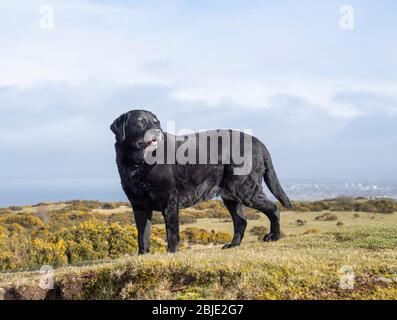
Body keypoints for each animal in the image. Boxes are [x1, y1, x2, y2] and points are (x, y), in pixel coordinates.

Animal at [110, 109, 290, 254]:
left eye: (156, 121)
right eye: (140, 122)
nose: (156, 129)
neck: (138, 163)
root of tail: (258, 141)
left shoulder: (170, 201)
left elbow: (172, 233)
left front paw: (171, 254)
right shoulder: (139, 205)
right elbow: (143, 234)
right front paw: (143, 255)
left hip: (244, 189)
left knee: (273, 208)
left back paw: (274, 236)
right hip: (231, 194)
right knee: (241, 221)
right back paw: (233, 245)